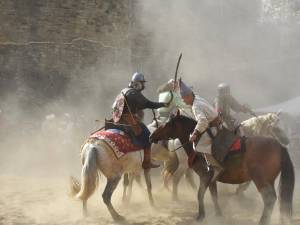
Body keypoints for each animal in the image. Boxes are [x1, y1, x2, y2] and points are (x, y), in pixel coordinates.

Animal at [149, 112, 294, 225]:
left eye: (167, 124)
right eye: (277, 128)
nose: (151, 136)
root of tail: (278, 146)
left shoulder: (205, 176)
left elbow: (200, 194)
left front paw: (201, 216)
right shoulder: (211, 179)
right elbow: (214, 196)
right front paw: (218, 214)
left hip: (261, 180)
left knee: (269, 199)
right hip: (268, 181)